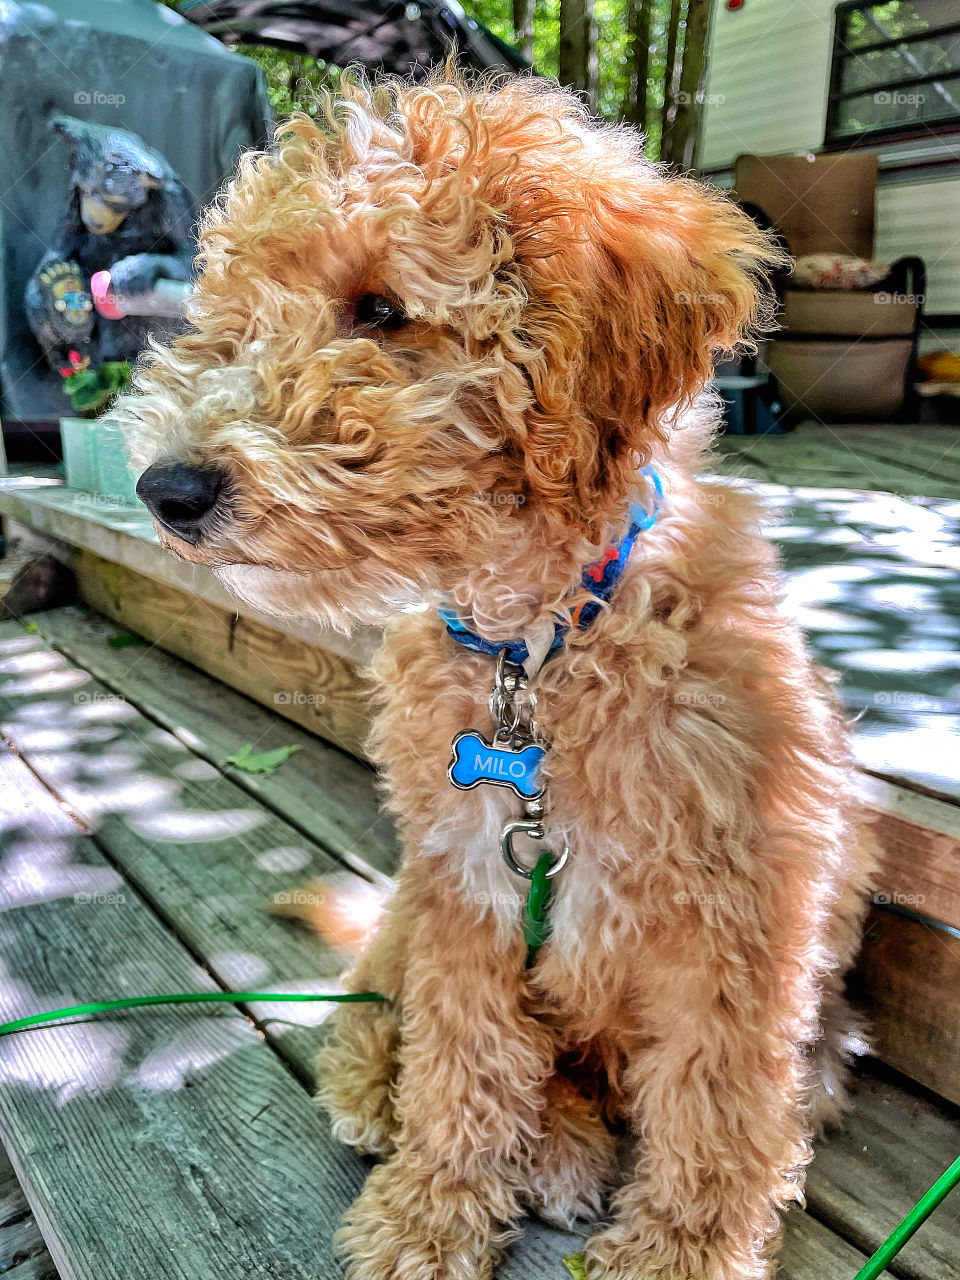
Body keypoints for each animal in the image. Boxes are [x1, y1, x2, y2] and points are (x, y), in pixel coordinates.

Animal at [124, 77, 885, 1280]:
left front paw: (679, 1250)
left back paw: (567, 1147)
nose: (167, 489)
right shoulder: (467, 887)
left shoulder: (740, 925)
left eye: (380, 309)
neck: (538, 649)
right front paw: (428, 1213)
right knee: (378, 999)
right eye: (237, 319)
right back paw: (395, 1098)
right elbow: (462, 1064)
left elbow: (716, 1104)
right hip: (412, 903)